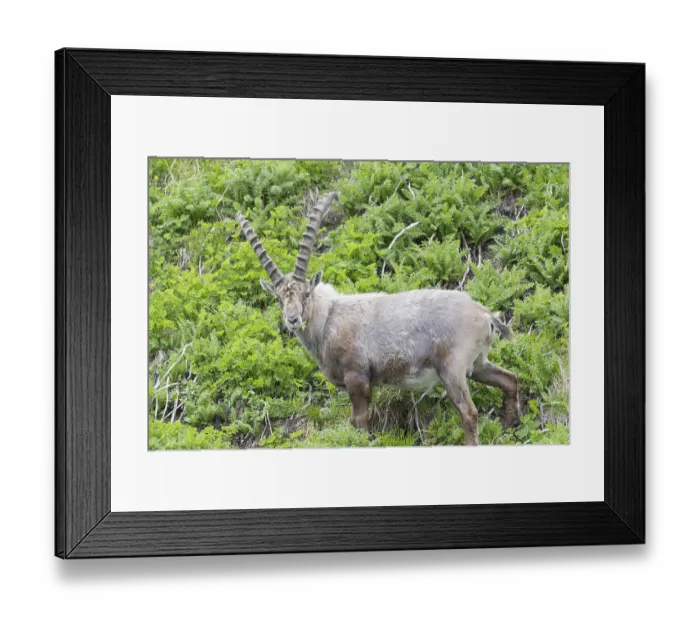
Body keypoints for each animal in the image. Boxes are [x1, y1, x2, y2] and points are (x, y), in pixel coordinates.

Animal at [237, 192, 519, 445]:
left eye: (306, 294)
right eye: (279, 299)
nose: (292, 319)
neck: (328, 320)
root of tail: (483, 313)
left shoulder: (357, 377)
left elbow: (360, 421)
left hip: (453, 368)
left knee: (469, 412)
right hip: (478, 364)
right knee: (509, 379)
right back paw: (511, 424)